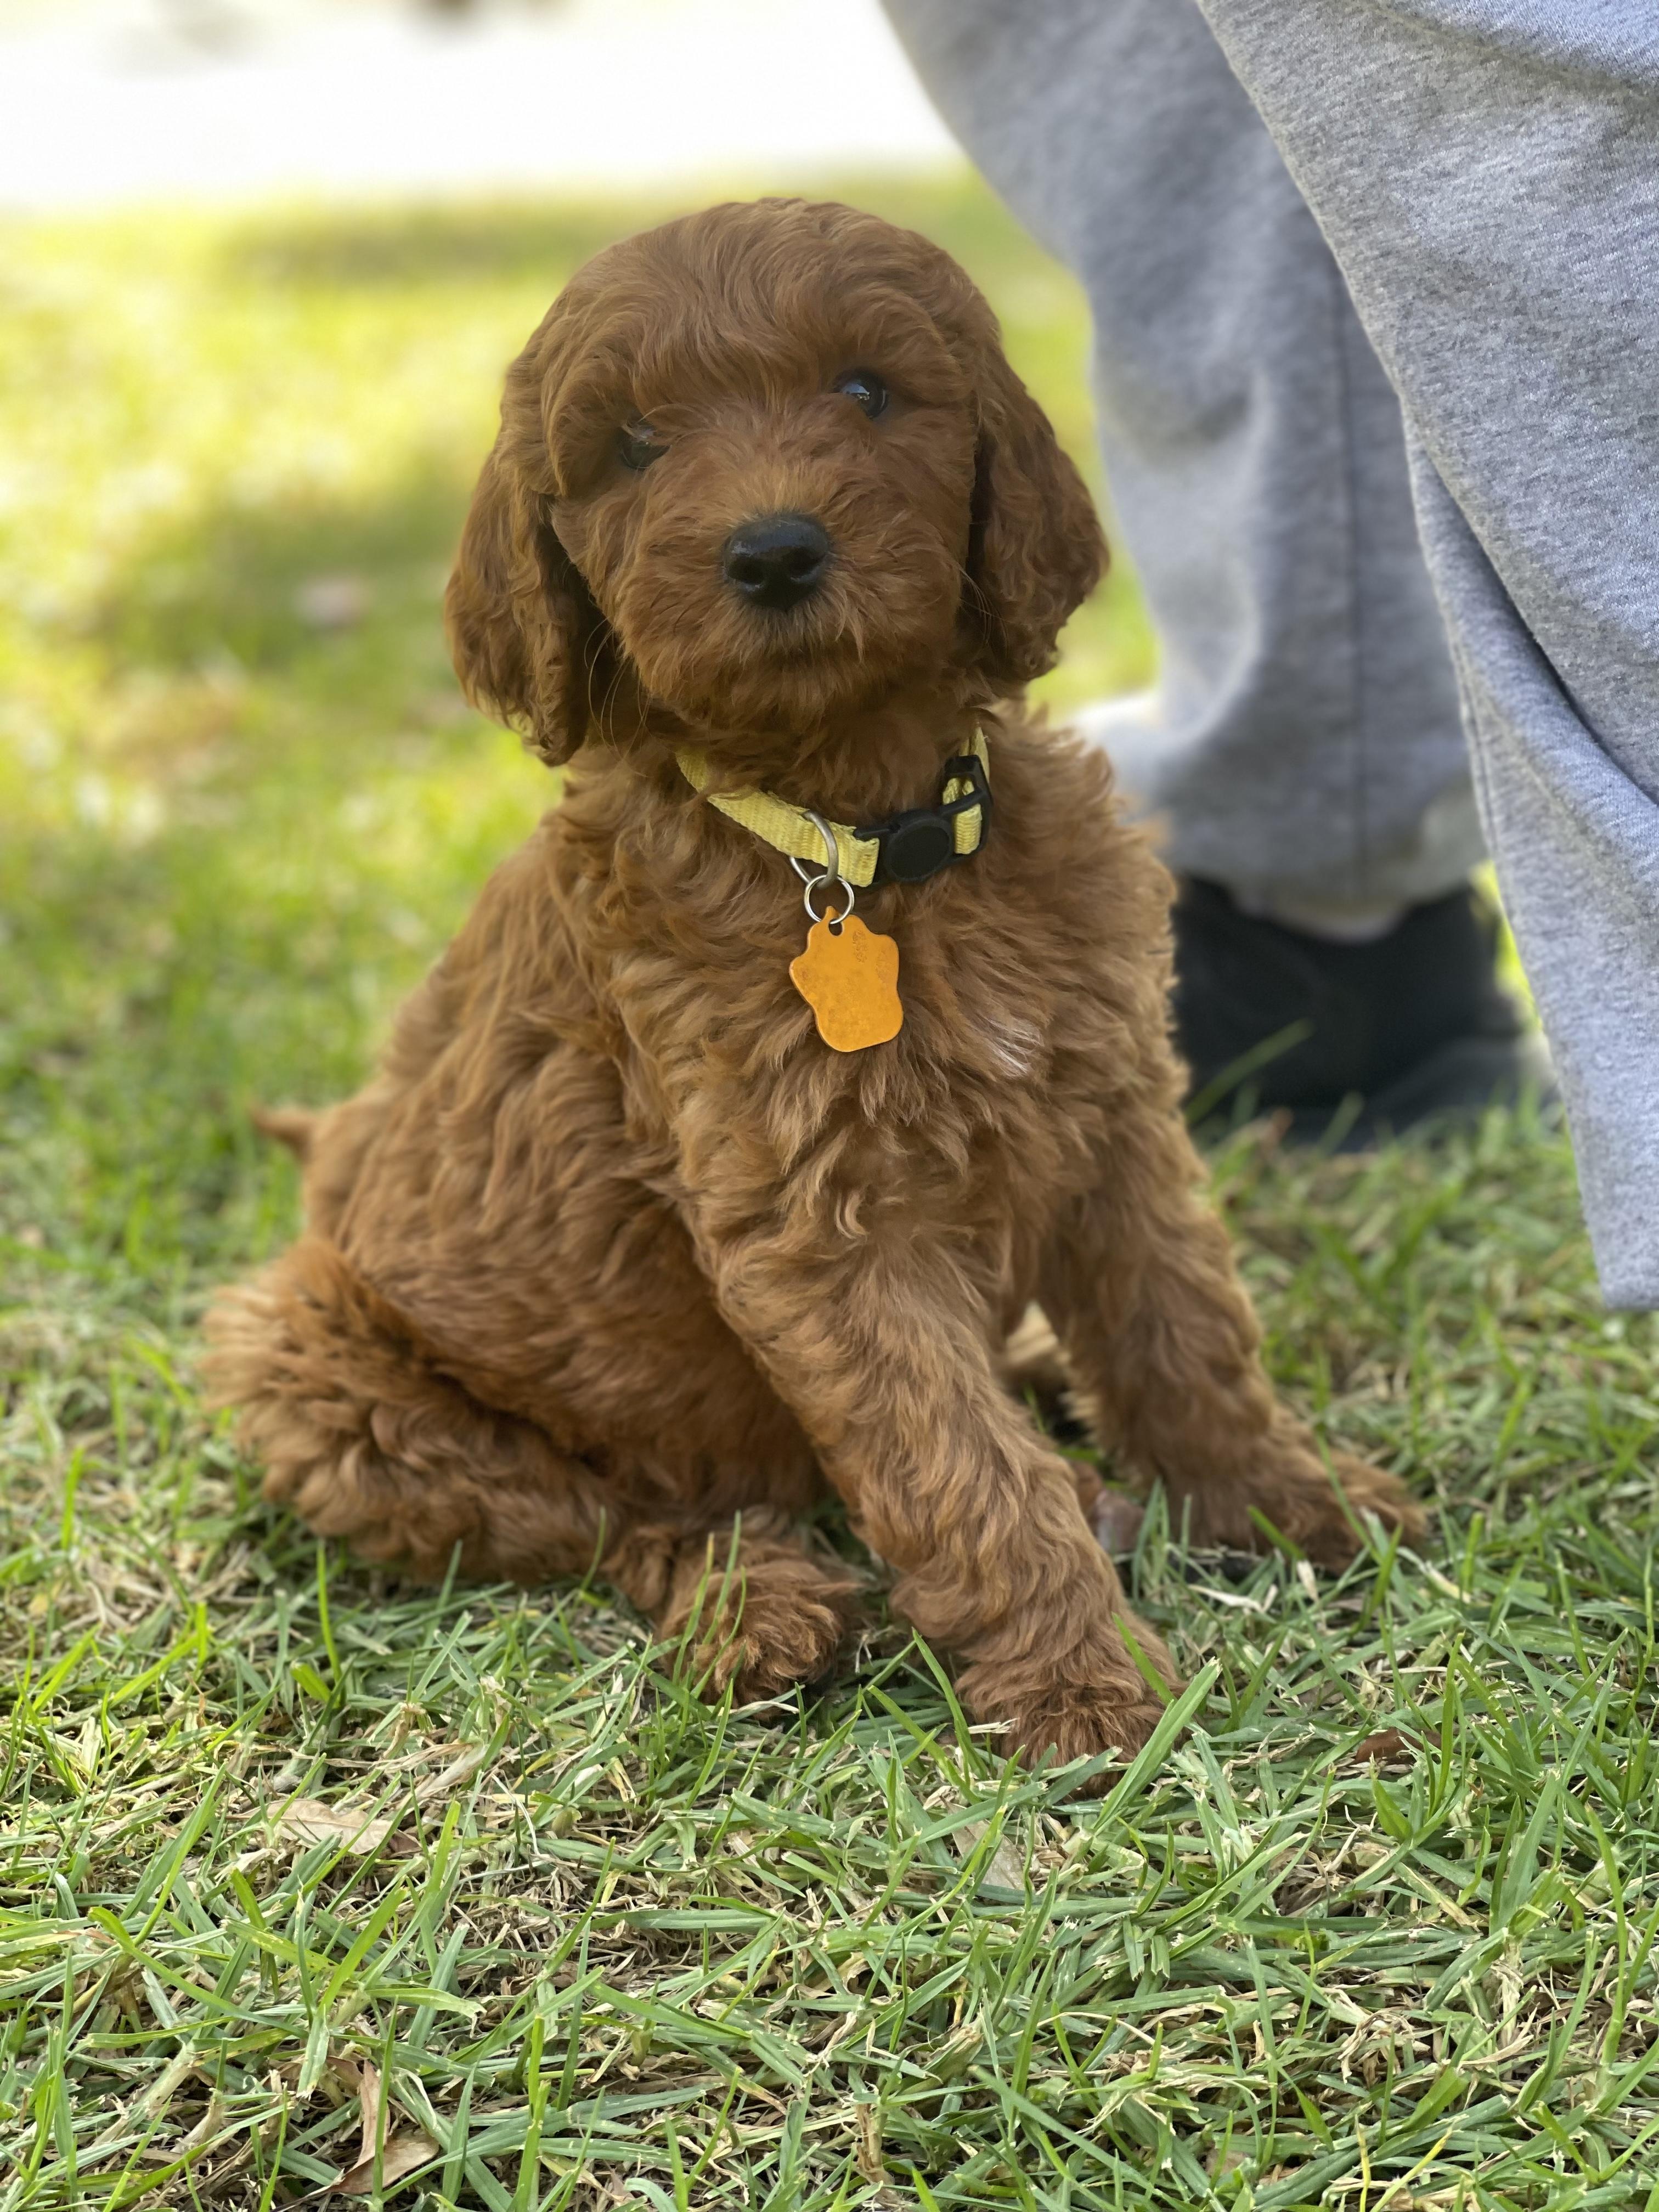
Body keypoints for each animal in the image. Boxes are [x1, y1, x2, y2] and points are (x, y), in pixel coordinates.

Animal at [206, 198, 1423, 1766]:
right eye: (635, 443)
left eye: (865, 389)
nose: (776, 554)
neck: (865, 837)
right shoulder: (823, 1232)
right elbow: (960, 1466)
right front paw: (1086, 1689)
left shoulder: (1114, 1121)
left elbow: (1184, 1329)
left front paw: (1285, 1506)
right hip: (314, 1375)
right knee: (607, 1521)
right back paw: (757, 1607)